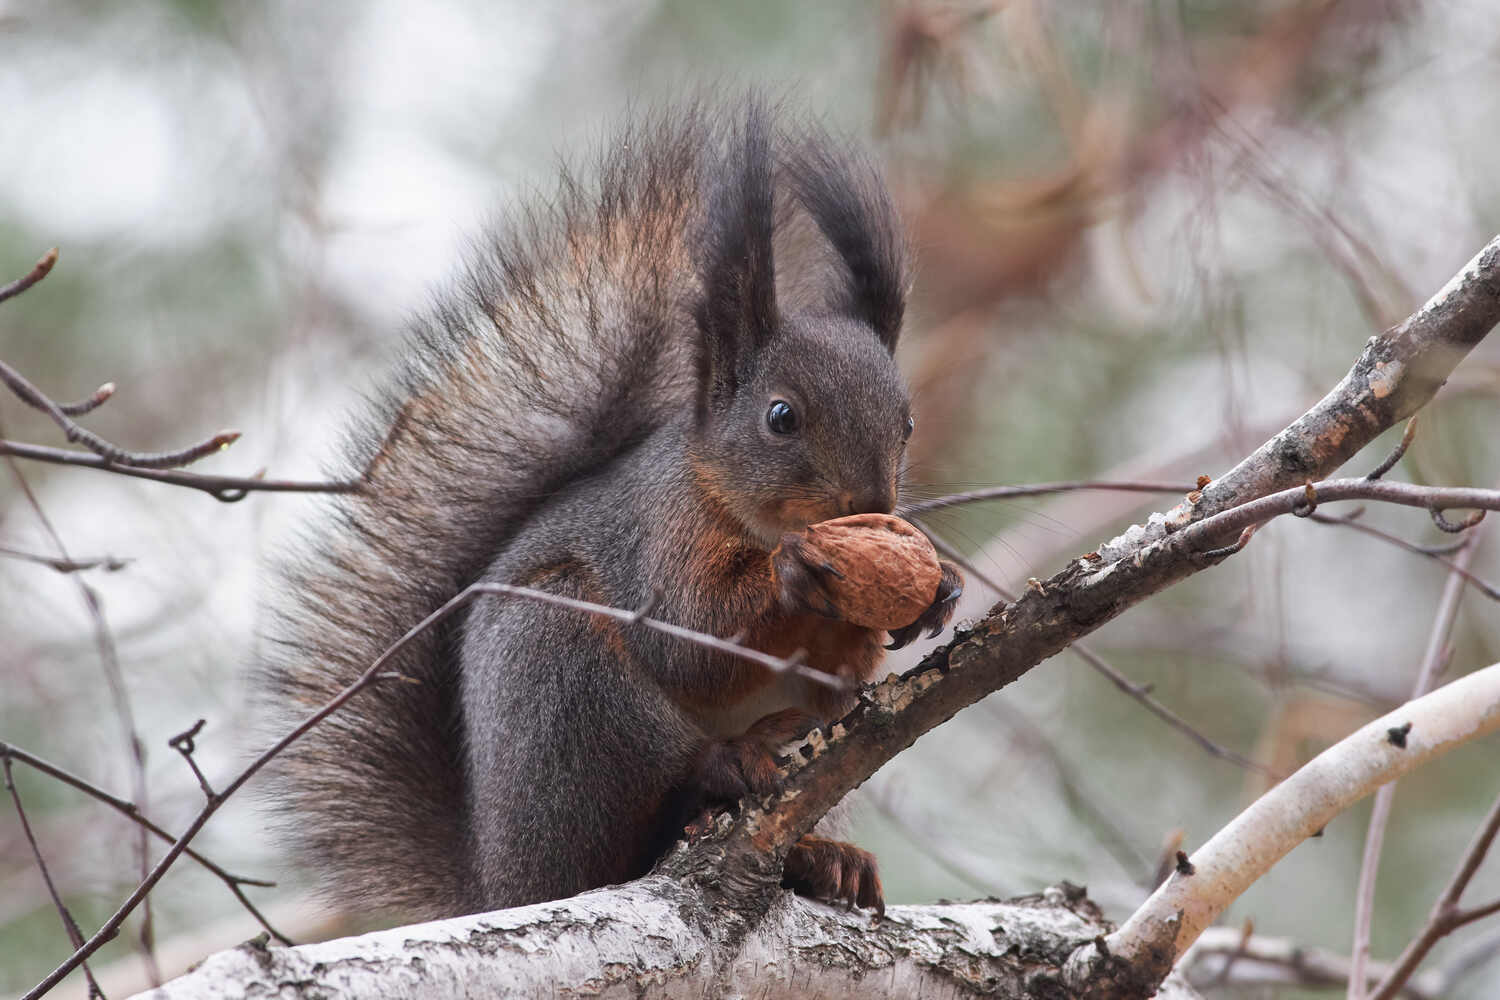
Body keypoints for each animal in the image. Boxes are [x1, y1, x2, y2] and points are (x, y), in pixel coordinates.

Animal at [257, 101, 962, 922]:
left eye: (906, 423)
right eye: (781, 417)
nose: (874, 505)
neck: (747, 513)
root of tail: (499, 883)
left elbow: (837, 683)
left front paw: (936, 592)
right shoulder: (661, 533)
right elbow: (689, 638)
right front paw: (797, 570)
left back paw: (824, 858)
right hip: (566, 675)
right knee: (637, 815)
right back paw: (727, 764)